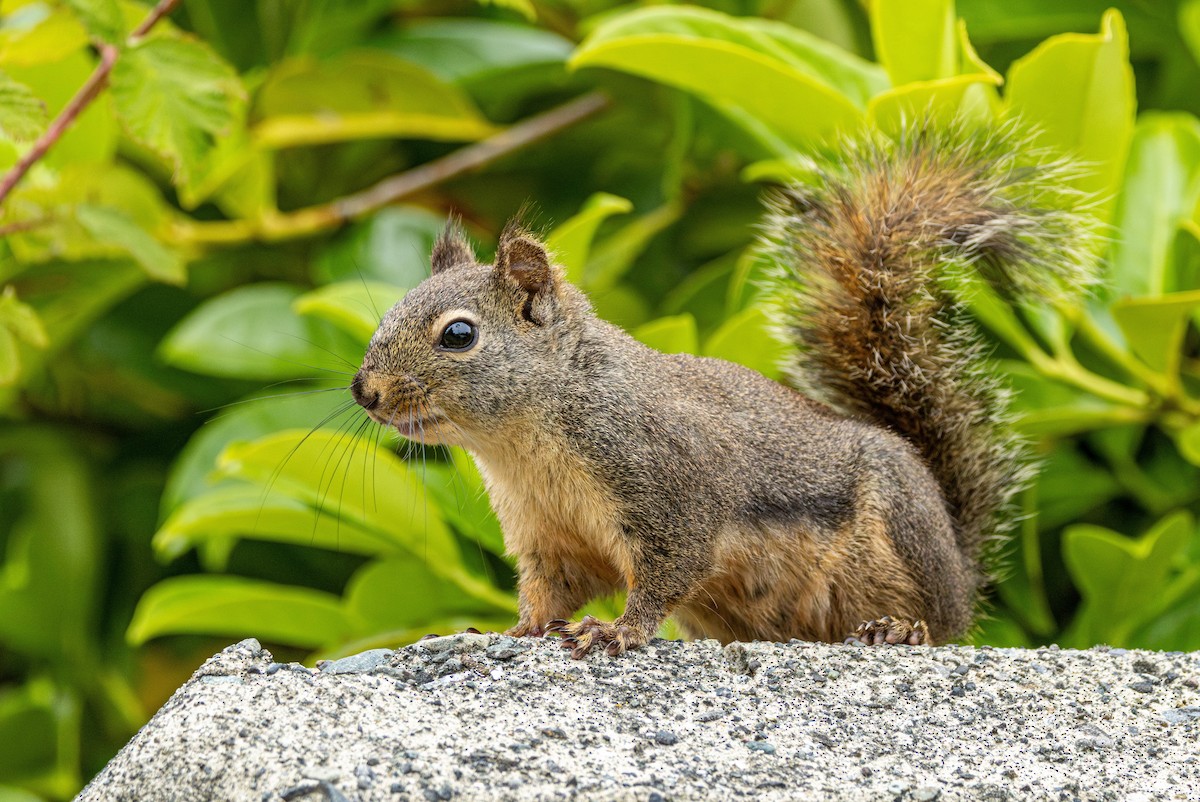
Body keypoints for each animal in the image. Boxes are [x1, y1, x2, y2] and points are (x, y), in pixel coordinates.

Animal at [351, 120, 1096, 657]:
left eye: (458, 334)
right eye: (390, 313)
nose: (366, 392)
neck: (526, 441)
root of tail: (960, 572)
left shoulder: (671, 492)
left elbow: (666, 573)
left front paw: (618, 631)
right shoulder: (549, 538)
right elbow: (551, 594)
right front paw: (516, 631)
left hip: (894, 539)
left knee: (936, 626)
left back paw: (901, 629)